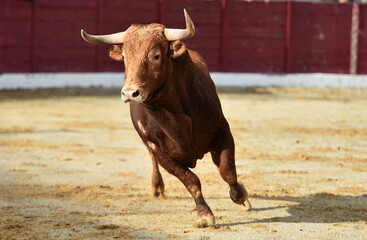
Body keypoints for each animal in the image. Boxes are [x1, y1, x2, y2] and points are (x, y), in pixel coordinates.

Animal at [81, 9, 252, 227]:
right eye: (124, 56)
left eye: (156, 55)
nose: (129, 93)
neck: (175, 116)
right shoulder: (160, 151)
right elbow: (190, 180)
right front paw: (204, 215)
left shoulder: (223, 132)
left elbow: (227, 170)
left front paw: (241, 196)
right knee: (153, 159)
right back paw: (156, 186)